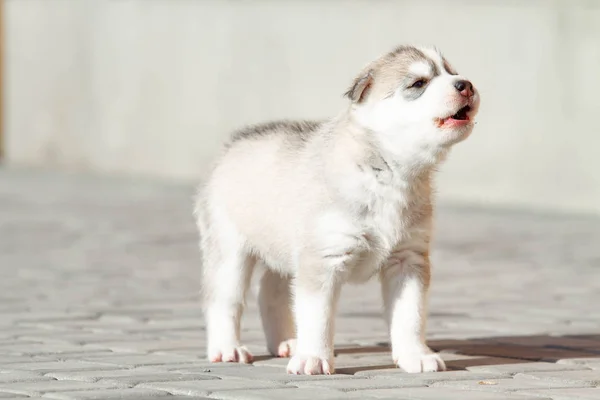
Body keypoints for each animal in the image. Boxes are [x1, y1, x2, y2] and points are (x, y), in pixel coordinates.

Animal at [195, 44, 480, 376]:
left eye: (451, 72)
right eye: (418, 83)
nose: (465, 84)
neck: (390, 172)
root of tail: (235, 142)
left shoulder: (408, 259)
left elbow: (411, 314)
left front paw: (415, 356)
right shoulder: (323, 257)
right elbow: (317, 315)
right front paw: (313, 358)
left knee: (270, 291)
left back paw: (286, 343)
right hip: (229, 250)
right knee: (224, 300)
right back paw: (227, 349)